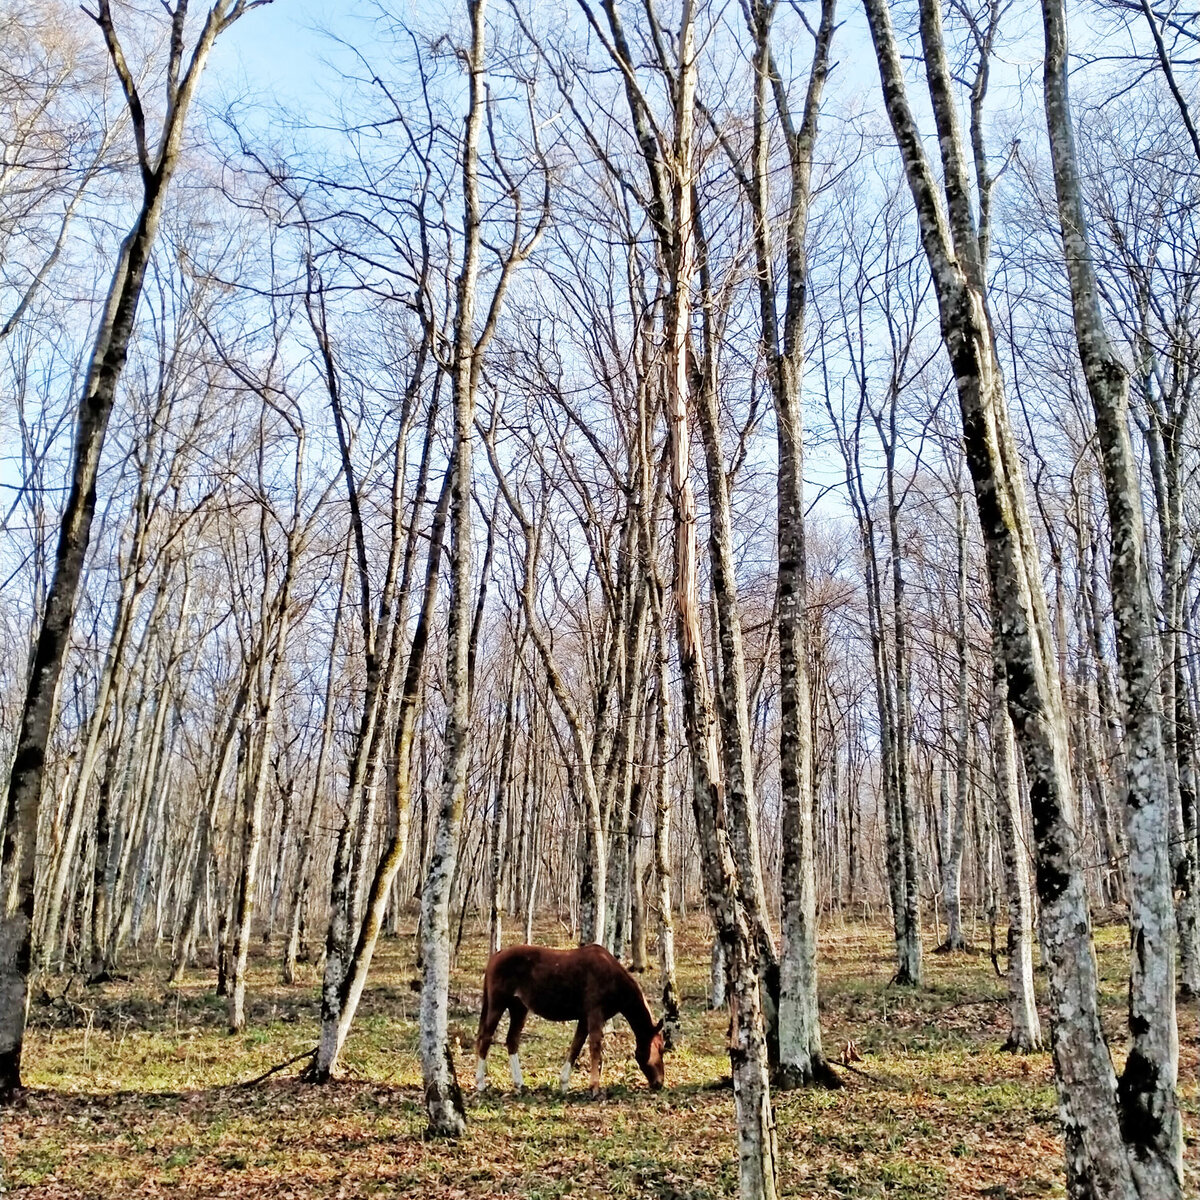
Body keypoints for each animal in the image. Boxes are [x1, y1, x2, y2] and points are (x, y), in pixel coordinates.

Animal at [472, 945, 667, 1099]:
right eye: (660, 1049)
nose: (659, 1083)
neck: (613, 978)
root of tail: (496, 956)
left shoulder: (584, 1018)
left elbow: (576, 1047)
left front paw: (564, 1083)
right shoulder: (595, 1015)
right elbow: (594, 1048)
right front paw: (594, 1088)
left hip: (518, 1008)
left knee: (512, 1040)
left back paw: (519, 1084)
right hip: (498, 1004)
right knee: (486, 1038)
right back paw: (480, 1083)